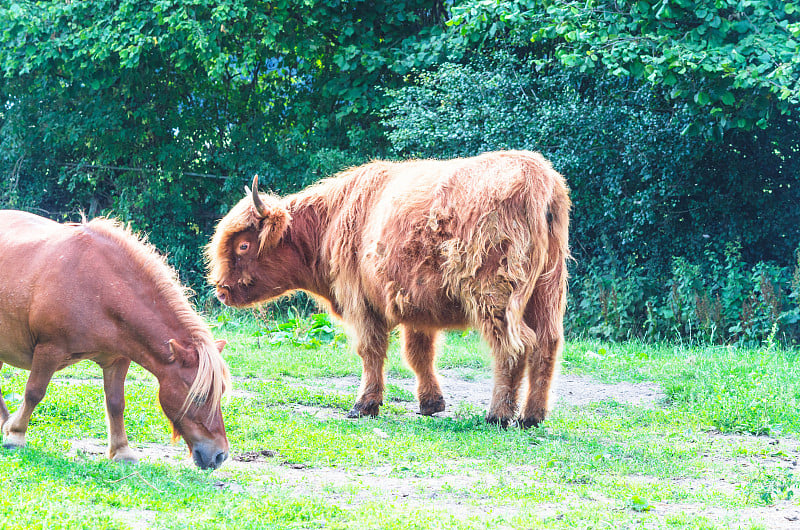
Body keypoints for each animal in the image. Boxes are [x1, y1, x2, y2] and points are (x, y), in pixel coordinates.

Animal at [0, 209, 231, 466]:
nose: (219, 455)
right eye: (198, 397)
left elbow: (116, 403)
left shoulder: (118, 359)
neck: (99, 287)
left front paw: (122, 450)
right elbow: (34, 392)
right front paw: (16, 435)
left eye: (221, 393)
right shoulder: (49, 350)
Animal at [206, 148, 568, 424]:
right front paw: (430, 404)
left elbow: (371, 351)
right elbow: (419, 355)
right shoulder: (419, 308)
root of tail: (537, 176)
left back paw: (498, 415)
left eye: (243, 245)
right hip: (547, 291)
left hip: (494, 294)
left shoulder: (359, 302)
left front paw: (364, 405)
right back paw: (532, 416)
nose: (221, 290)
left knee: (512, 347)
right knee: (547, 344)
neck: (330, 222)